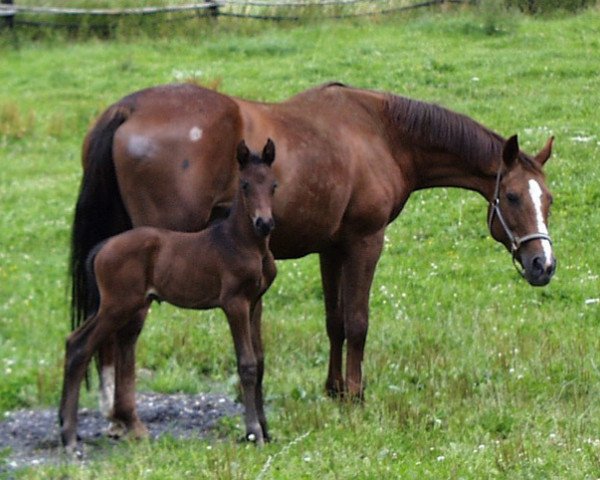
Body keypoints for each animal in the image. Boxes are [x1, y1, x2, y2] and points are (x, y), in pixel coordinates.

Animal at [59, 138, 278, 450]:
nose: (264, 223)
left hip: (114, 305)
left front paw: (266, 430)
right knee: (80, 346)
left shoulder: (255, 303)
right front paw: (253, 433)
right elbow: (246, 364)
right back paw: (68, 436)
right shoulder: (234, 302)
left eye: (273, 185)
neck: (243, 242)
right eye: (245, 184)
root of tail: (102, 247)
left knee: (73, 342)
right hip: (118, 305)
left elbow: (259, 362)